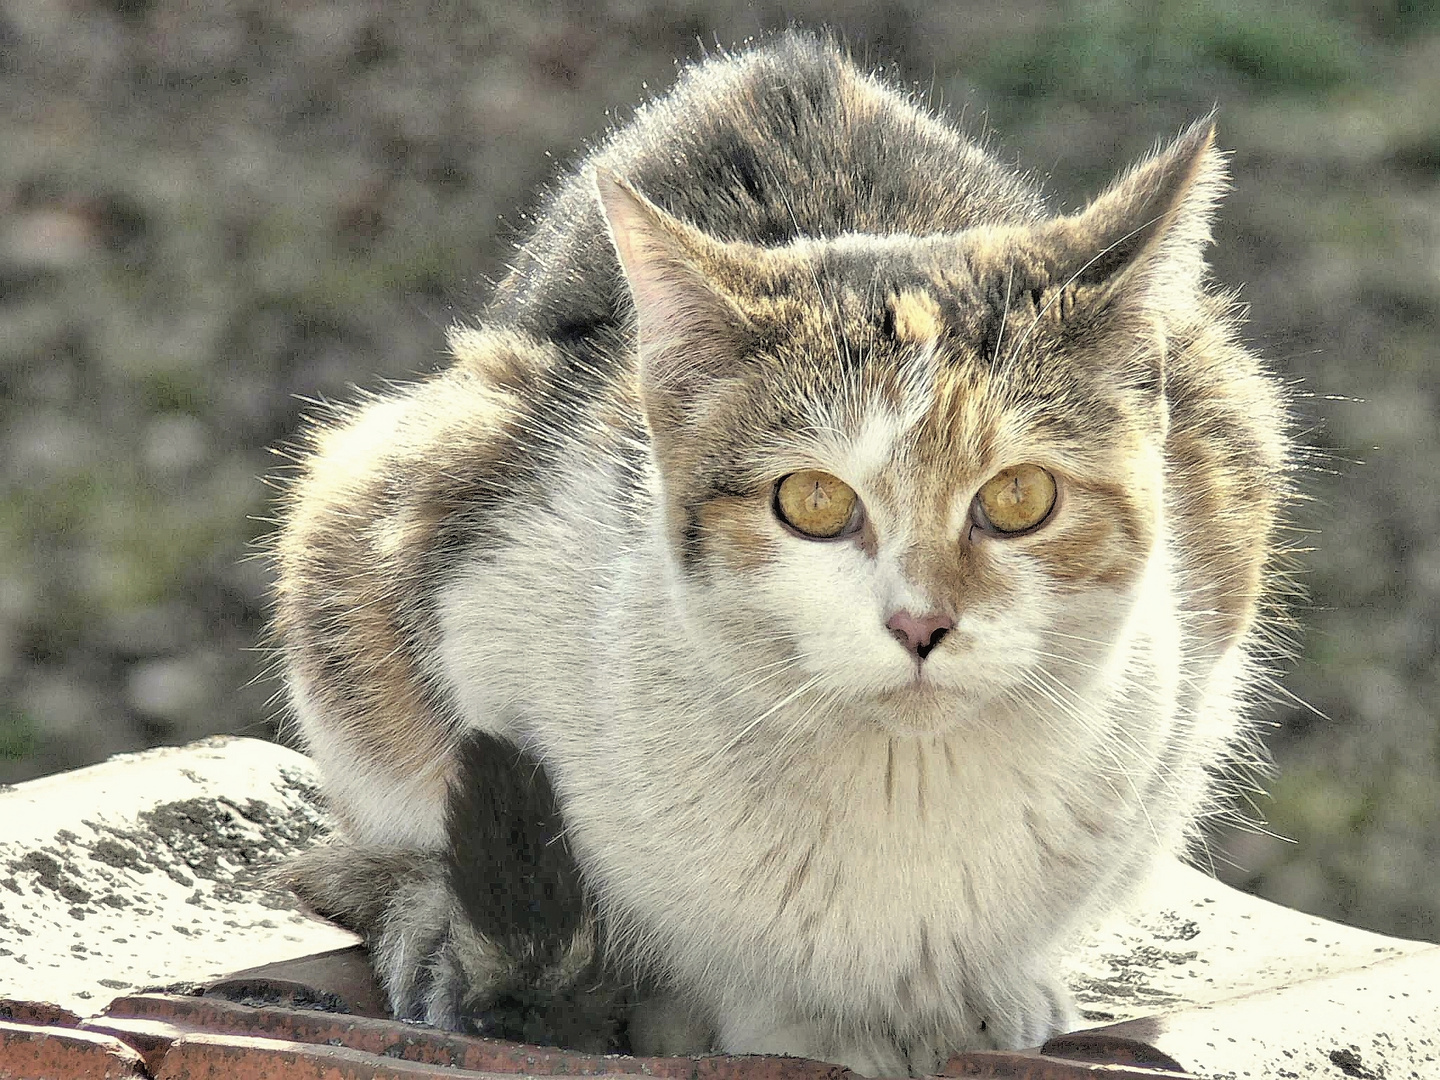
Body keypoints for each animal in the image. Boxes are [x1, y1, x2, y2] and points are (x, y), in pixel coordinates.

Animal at [272, 29, 1296, 1077]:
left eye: (1019, 497)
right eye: (813, 502)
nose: (920, 622)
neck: (905, 787)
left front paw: (992, 999)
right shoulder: (469, 571)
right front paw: (784, 1021)